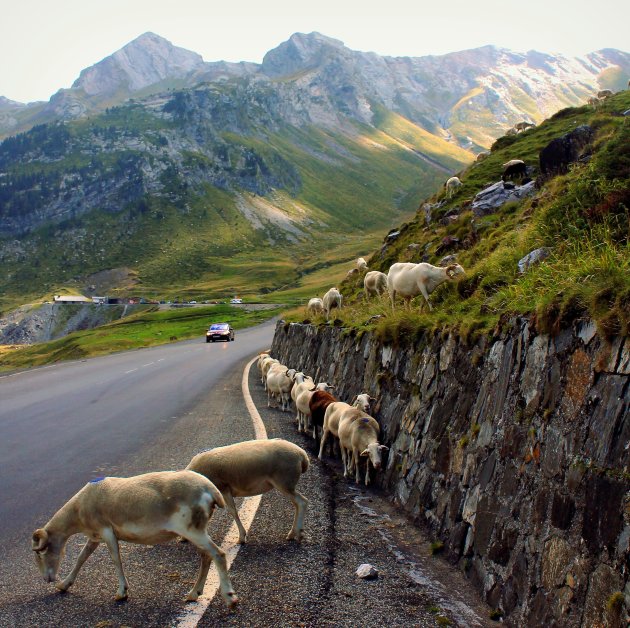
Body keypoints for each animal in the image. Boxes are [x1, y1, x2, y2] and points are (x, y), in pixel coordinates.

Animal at [30, 472, 237, 608]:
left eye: (40, 553)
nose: (47, 578)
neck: (79, 509)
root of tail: (211, 490)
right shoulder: (94, 536)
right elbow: (81, 558)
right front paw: (64, 585)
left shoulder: (106, 531)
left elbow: (116, 559)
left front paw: (122, 592)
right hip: (196, 530)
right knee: (206, 556)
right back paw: (194, 594)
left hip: (192, 530)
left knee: (218, 554)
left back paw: (229, 597)